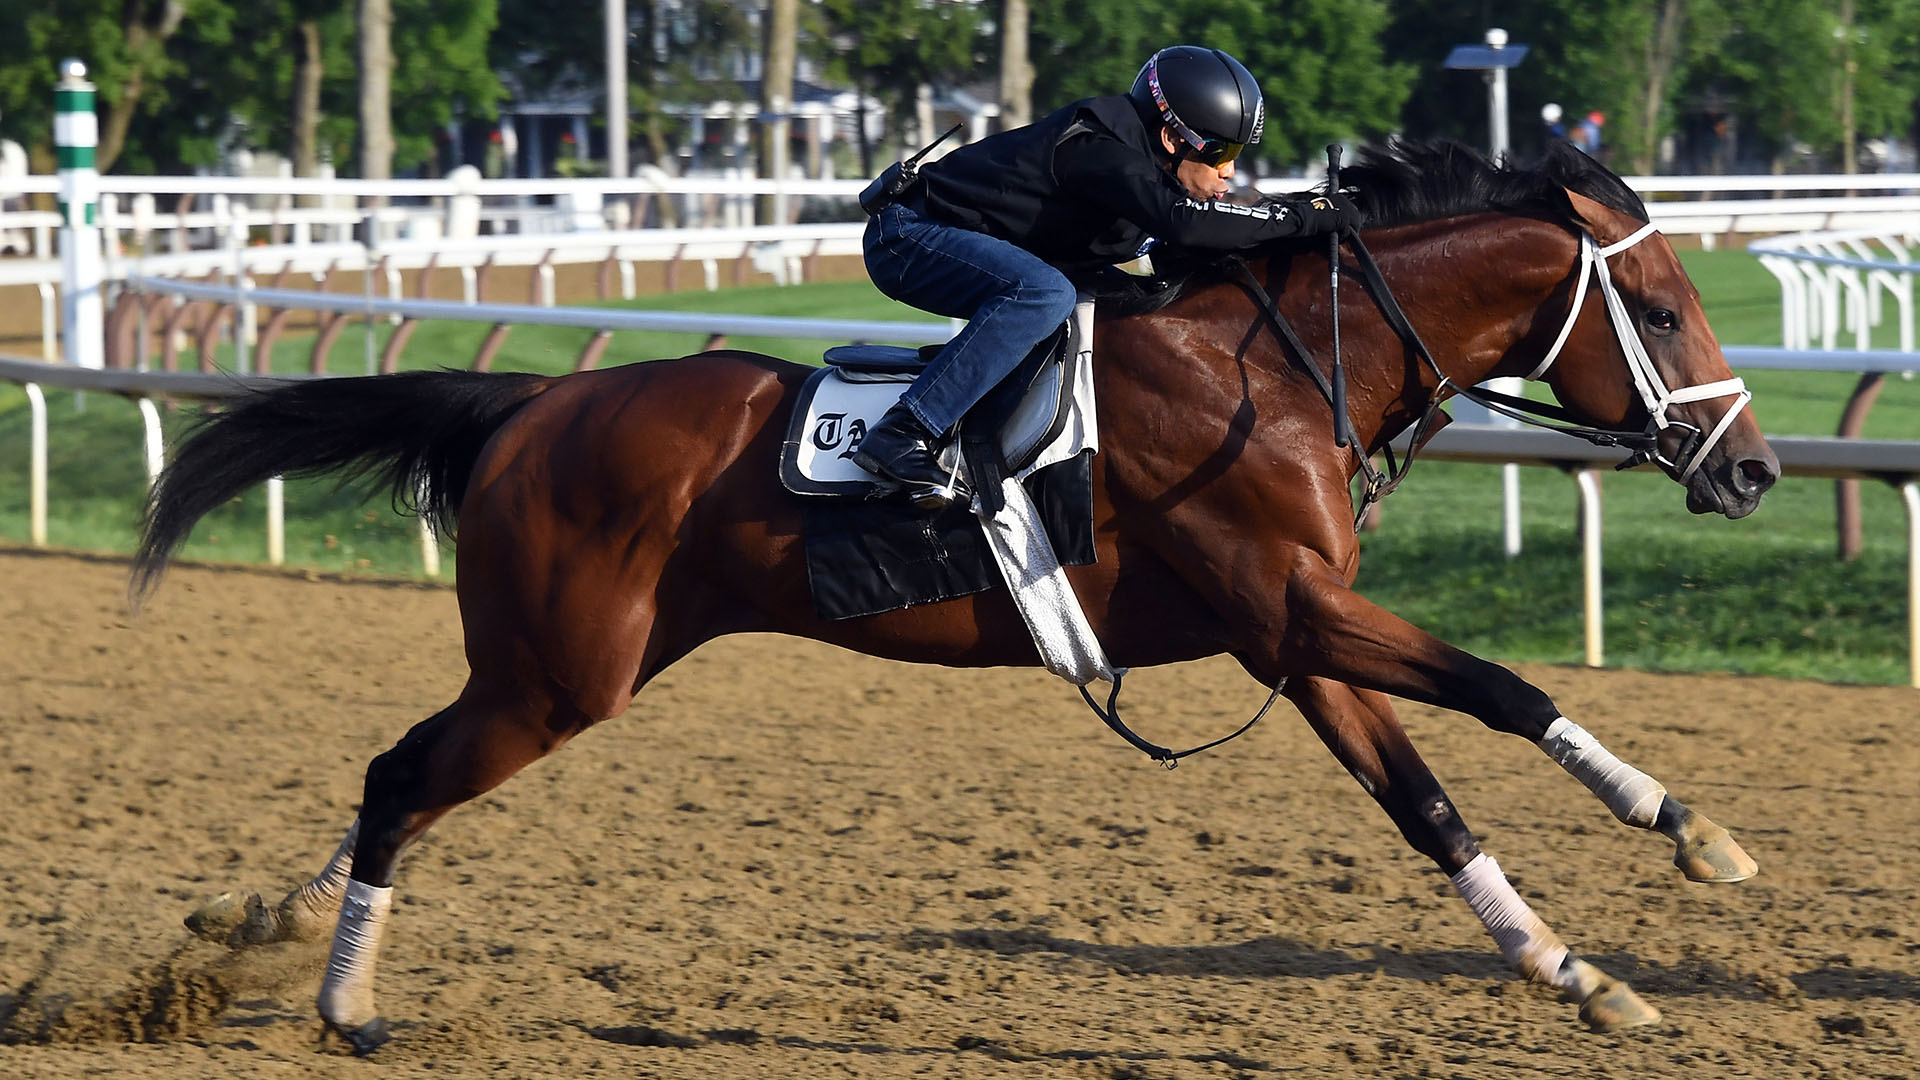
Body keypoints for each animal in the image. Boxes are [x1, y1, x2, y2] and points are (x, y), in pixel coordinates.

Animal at [135, 138, 1781, 1045]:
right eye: (1656, 309)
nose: (1756, 470)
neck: (1274, 369)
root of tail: (530, 407)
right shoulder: (1291, 611)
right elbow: (1505, 688)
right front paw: (1692, 831)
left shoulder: (1292, 639)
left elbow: (1429, 807)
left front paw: (1578, 970)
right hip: (558, 675)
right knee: (399, 776)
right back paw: (342, 1002)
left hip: (568, 667)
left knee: (399, 780)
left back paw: (268, 926)